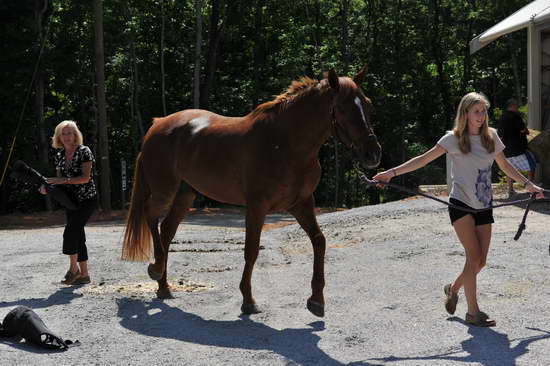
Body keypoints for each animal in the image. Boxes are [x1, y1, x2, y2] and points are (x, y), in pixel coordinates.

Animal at [122, 66, 382, 318]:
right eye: (341, 108)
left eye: (369, 105)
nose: (373, 153)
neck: (284, 144)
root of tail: (157, 124)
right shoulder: (257, 206)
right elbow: (252, 250)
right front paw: (248, 301)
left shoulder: (301, 204)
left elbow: (319, 241)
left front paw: (317, 300)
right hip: (165, 191)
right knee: (150, 215)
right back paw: (155, 269)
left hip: (185, 194)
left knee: (166, 231)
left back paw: (164, 287)